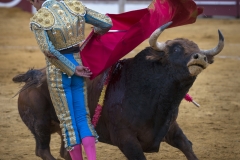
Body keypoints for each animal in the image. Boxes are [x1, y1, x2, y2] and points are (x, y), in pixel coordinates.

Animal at [12, 23, 224, 160]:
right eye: (177, 49)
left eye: (196, 48)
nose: (200, 57)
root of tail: (33, 77)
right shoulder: (126, 141)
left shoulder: (171, 129)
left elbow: (188, 146)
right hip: (40, 125)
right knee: (43, 151)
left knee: (67, 151)